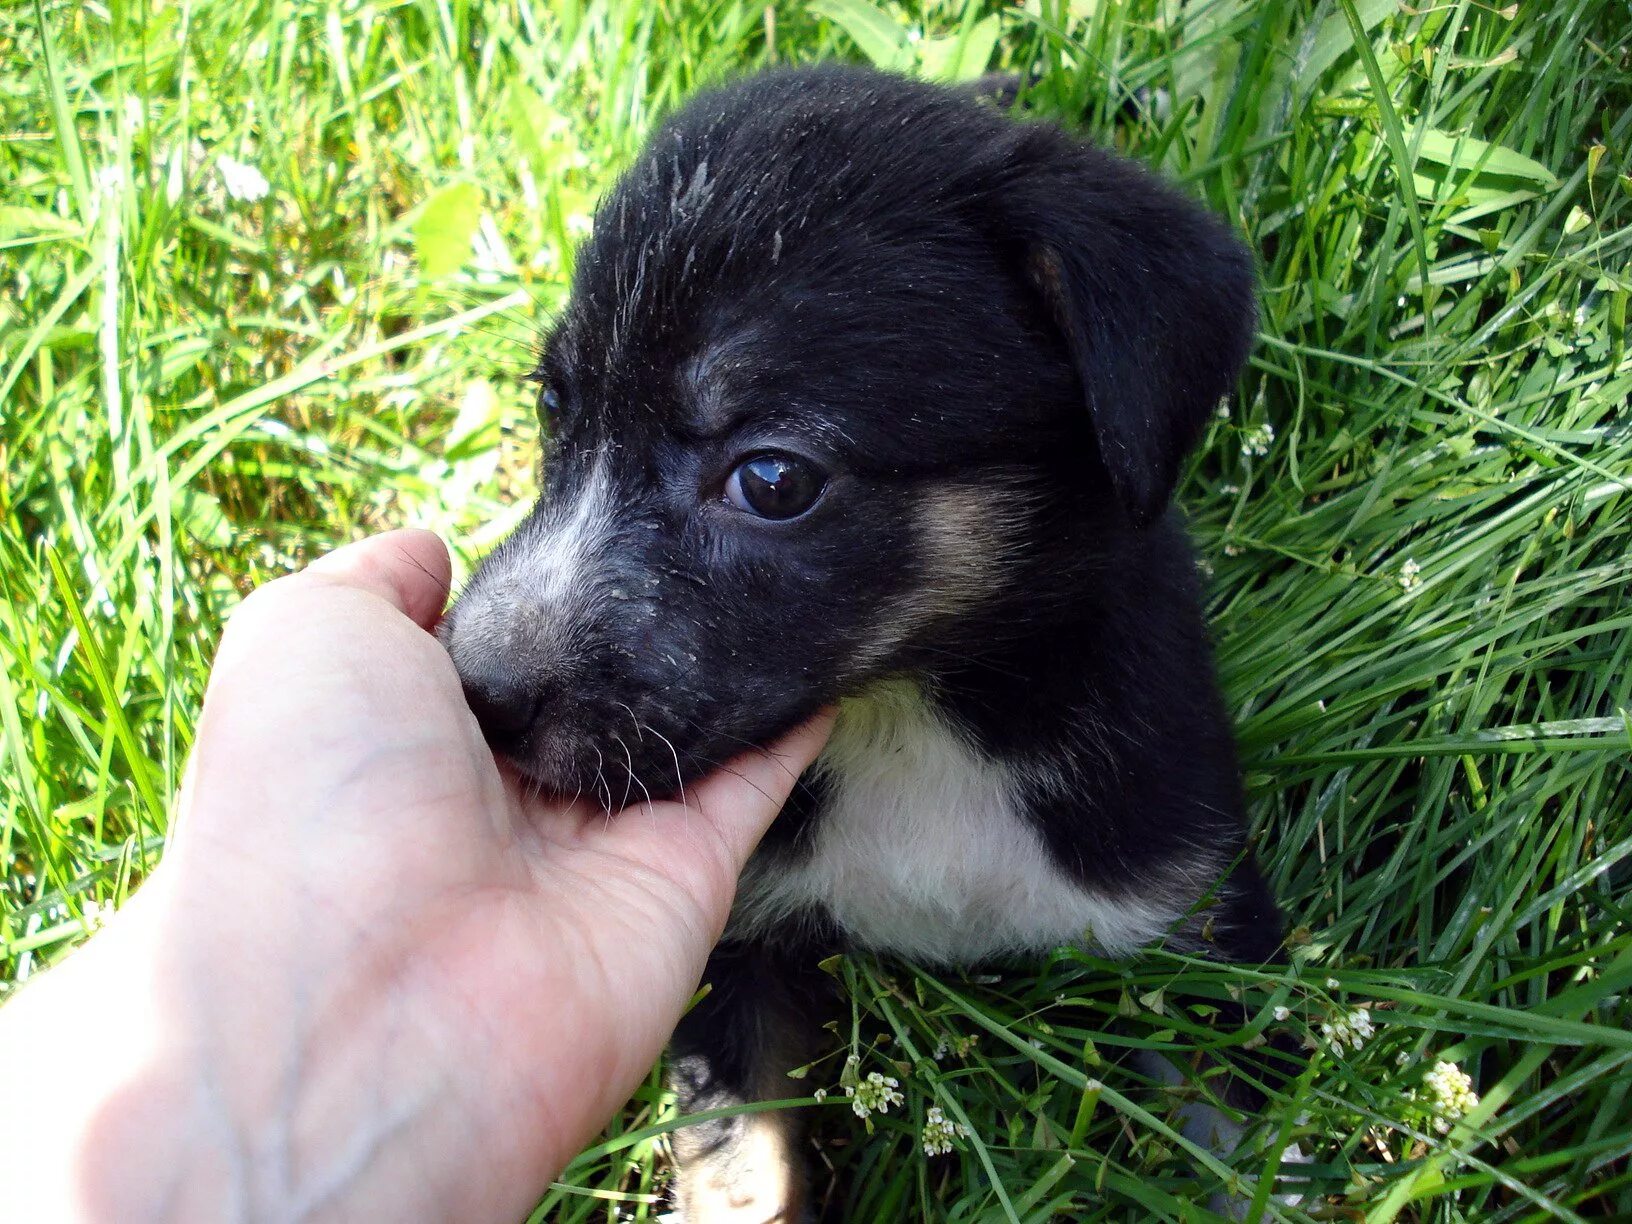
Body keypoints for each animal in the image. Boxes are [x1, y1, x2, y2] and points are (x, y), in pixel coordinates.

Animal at [440, 64, 1279, 1220]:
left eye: (773, 479)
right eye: (553, 411)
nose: (476, 690)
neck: (914, 715)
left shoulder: (1198, 925)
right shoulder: (736, 959)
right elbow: (744, 1170)